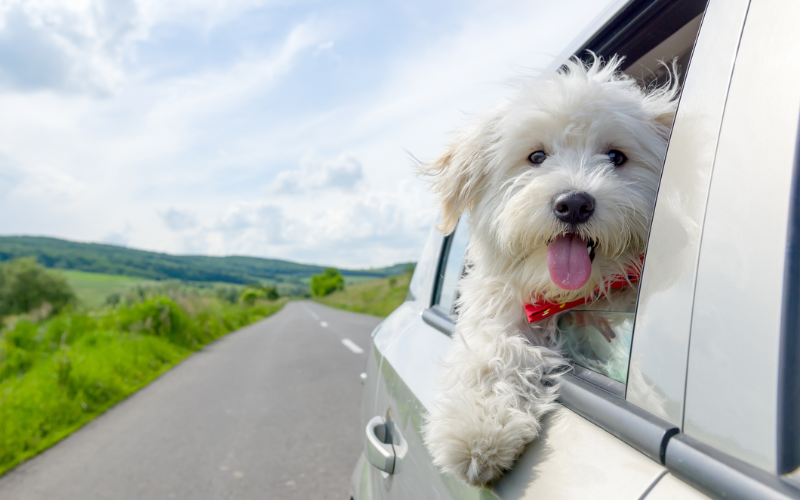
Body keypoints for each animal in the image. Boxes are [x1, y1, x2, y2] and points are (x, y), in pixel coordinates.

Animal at [422, 56, 680, 486]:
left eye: (616, 157)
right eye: (537, 157)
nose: (573, 203)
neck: (570, 297)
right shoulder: (499, 306)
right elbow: (494, 350)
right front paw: (477, 428)